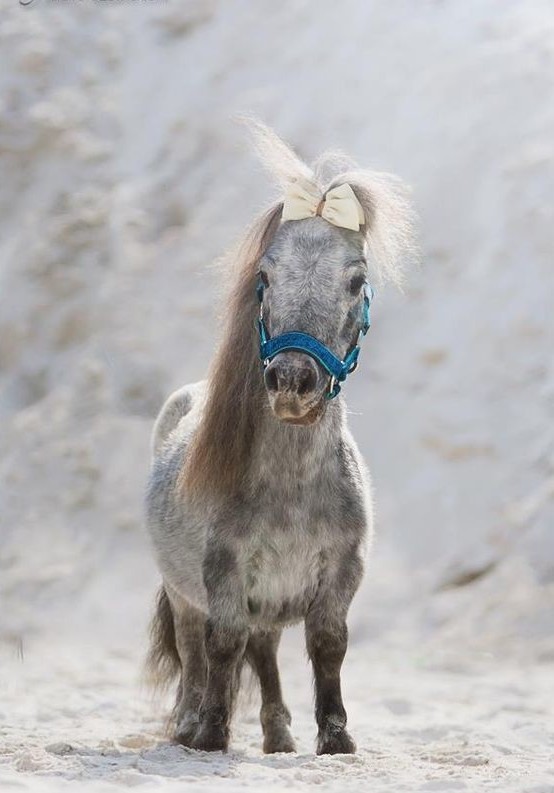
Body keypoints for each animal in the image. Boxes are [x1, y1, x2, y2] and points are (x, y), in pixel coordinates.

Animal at [144, 120, 412, 752]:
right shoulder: (223, 572)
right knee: (196, 649)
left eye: (356, 281)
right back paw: (188, 723)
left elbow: (328, 645)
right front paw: (211, 735)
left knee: (263, 649)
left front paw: (335, 738)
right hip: (182, 592)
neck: (291, 485)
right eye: (264, 277)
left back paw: (278, 734)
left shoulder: (341, 571)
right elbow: (222, 644)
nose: (293, 381)